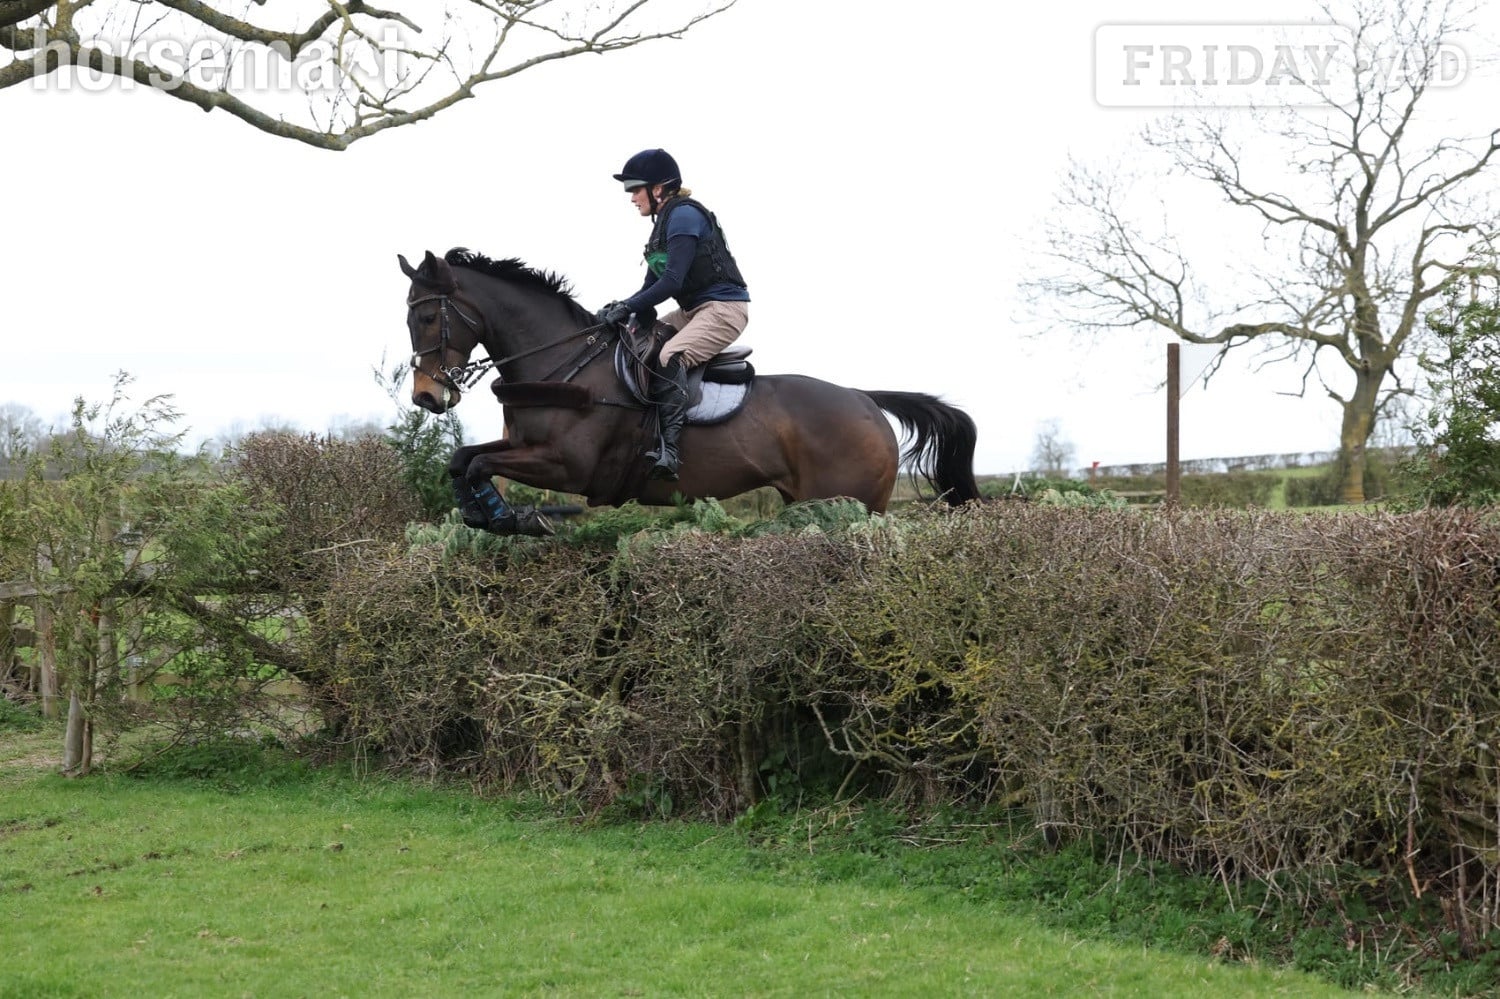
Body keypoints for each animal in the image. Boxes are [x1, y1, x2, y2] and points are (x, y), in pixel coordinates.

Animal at [399, 248, 981, 534]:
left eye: (427, 317)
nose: (426, 396)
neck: (564, 362)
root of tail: (864, 398)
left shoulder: (567, 465)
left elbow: (477, 463)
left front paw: (511, 519)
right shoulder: (524, 447)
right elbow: (462, 459)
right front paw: (487, 516)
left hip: (850, 502)